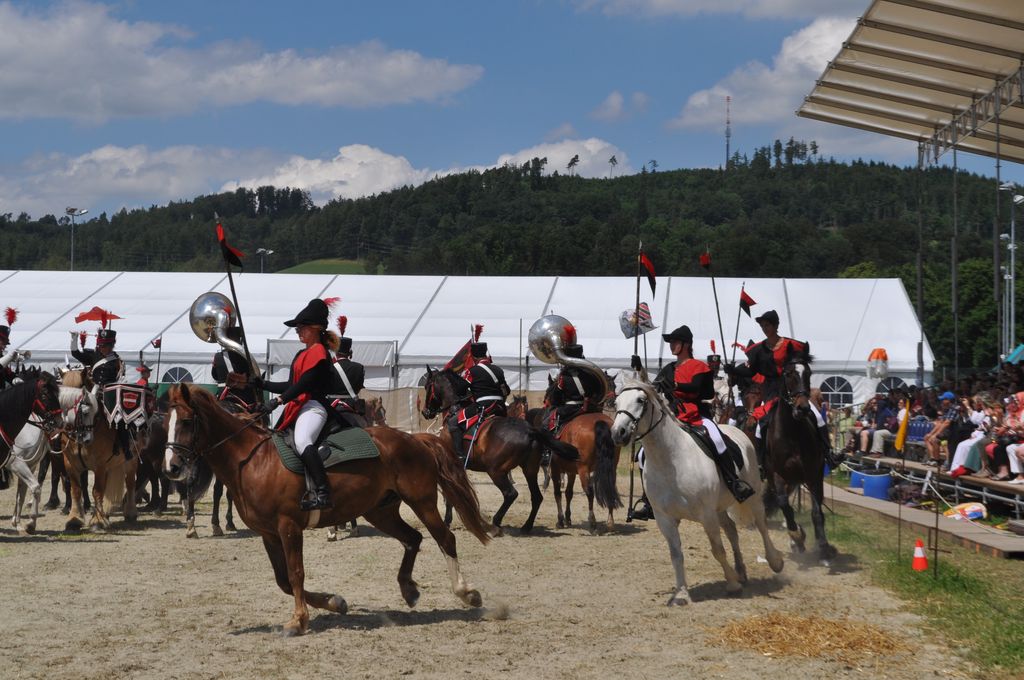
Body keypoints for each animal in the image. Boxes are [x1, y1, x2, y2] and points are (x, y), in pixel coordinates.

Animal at [163, 385, 491, 634]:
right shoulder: (268, 534)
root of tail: (416, 439)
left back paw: (467, 593)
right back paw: (408, 589)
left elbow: (295, 573)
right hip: (380, 512)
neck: (251, 459)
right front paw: (334, 602)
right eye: (166, 422)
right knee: (413, 539)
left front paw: (298, 621)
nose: (172, 468)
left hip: (422, 502)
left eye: (187, 422)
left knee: (445, 539)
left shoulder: (288, 527)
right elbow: (283, 580)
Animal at [419, 368, 581, 532]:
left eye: (427, 386)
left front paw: (447, 520)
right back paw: (526, 526)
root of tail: (529, 430)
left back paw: (496, 522)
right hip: (529, 470)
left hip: (495, 471)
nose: (426, 412)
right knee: (536, 497)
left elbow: (450, 495)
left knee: (510, 494)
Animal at [606, 376, 782, 606]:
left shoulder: (706, 515)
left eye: (640, 400)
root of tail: (737, 431)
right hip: (719, 508)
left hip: (750, 494)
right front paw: (681, 593)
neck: (670, 461)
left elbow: (717, 550)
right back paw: (741, 572)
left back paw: (775, 561)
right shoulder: (665, 519)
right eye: (616, 402)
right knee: (732, 532)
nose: (618, 433)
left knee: (761, 523)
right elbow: (676, 554)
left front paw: (731, 585)